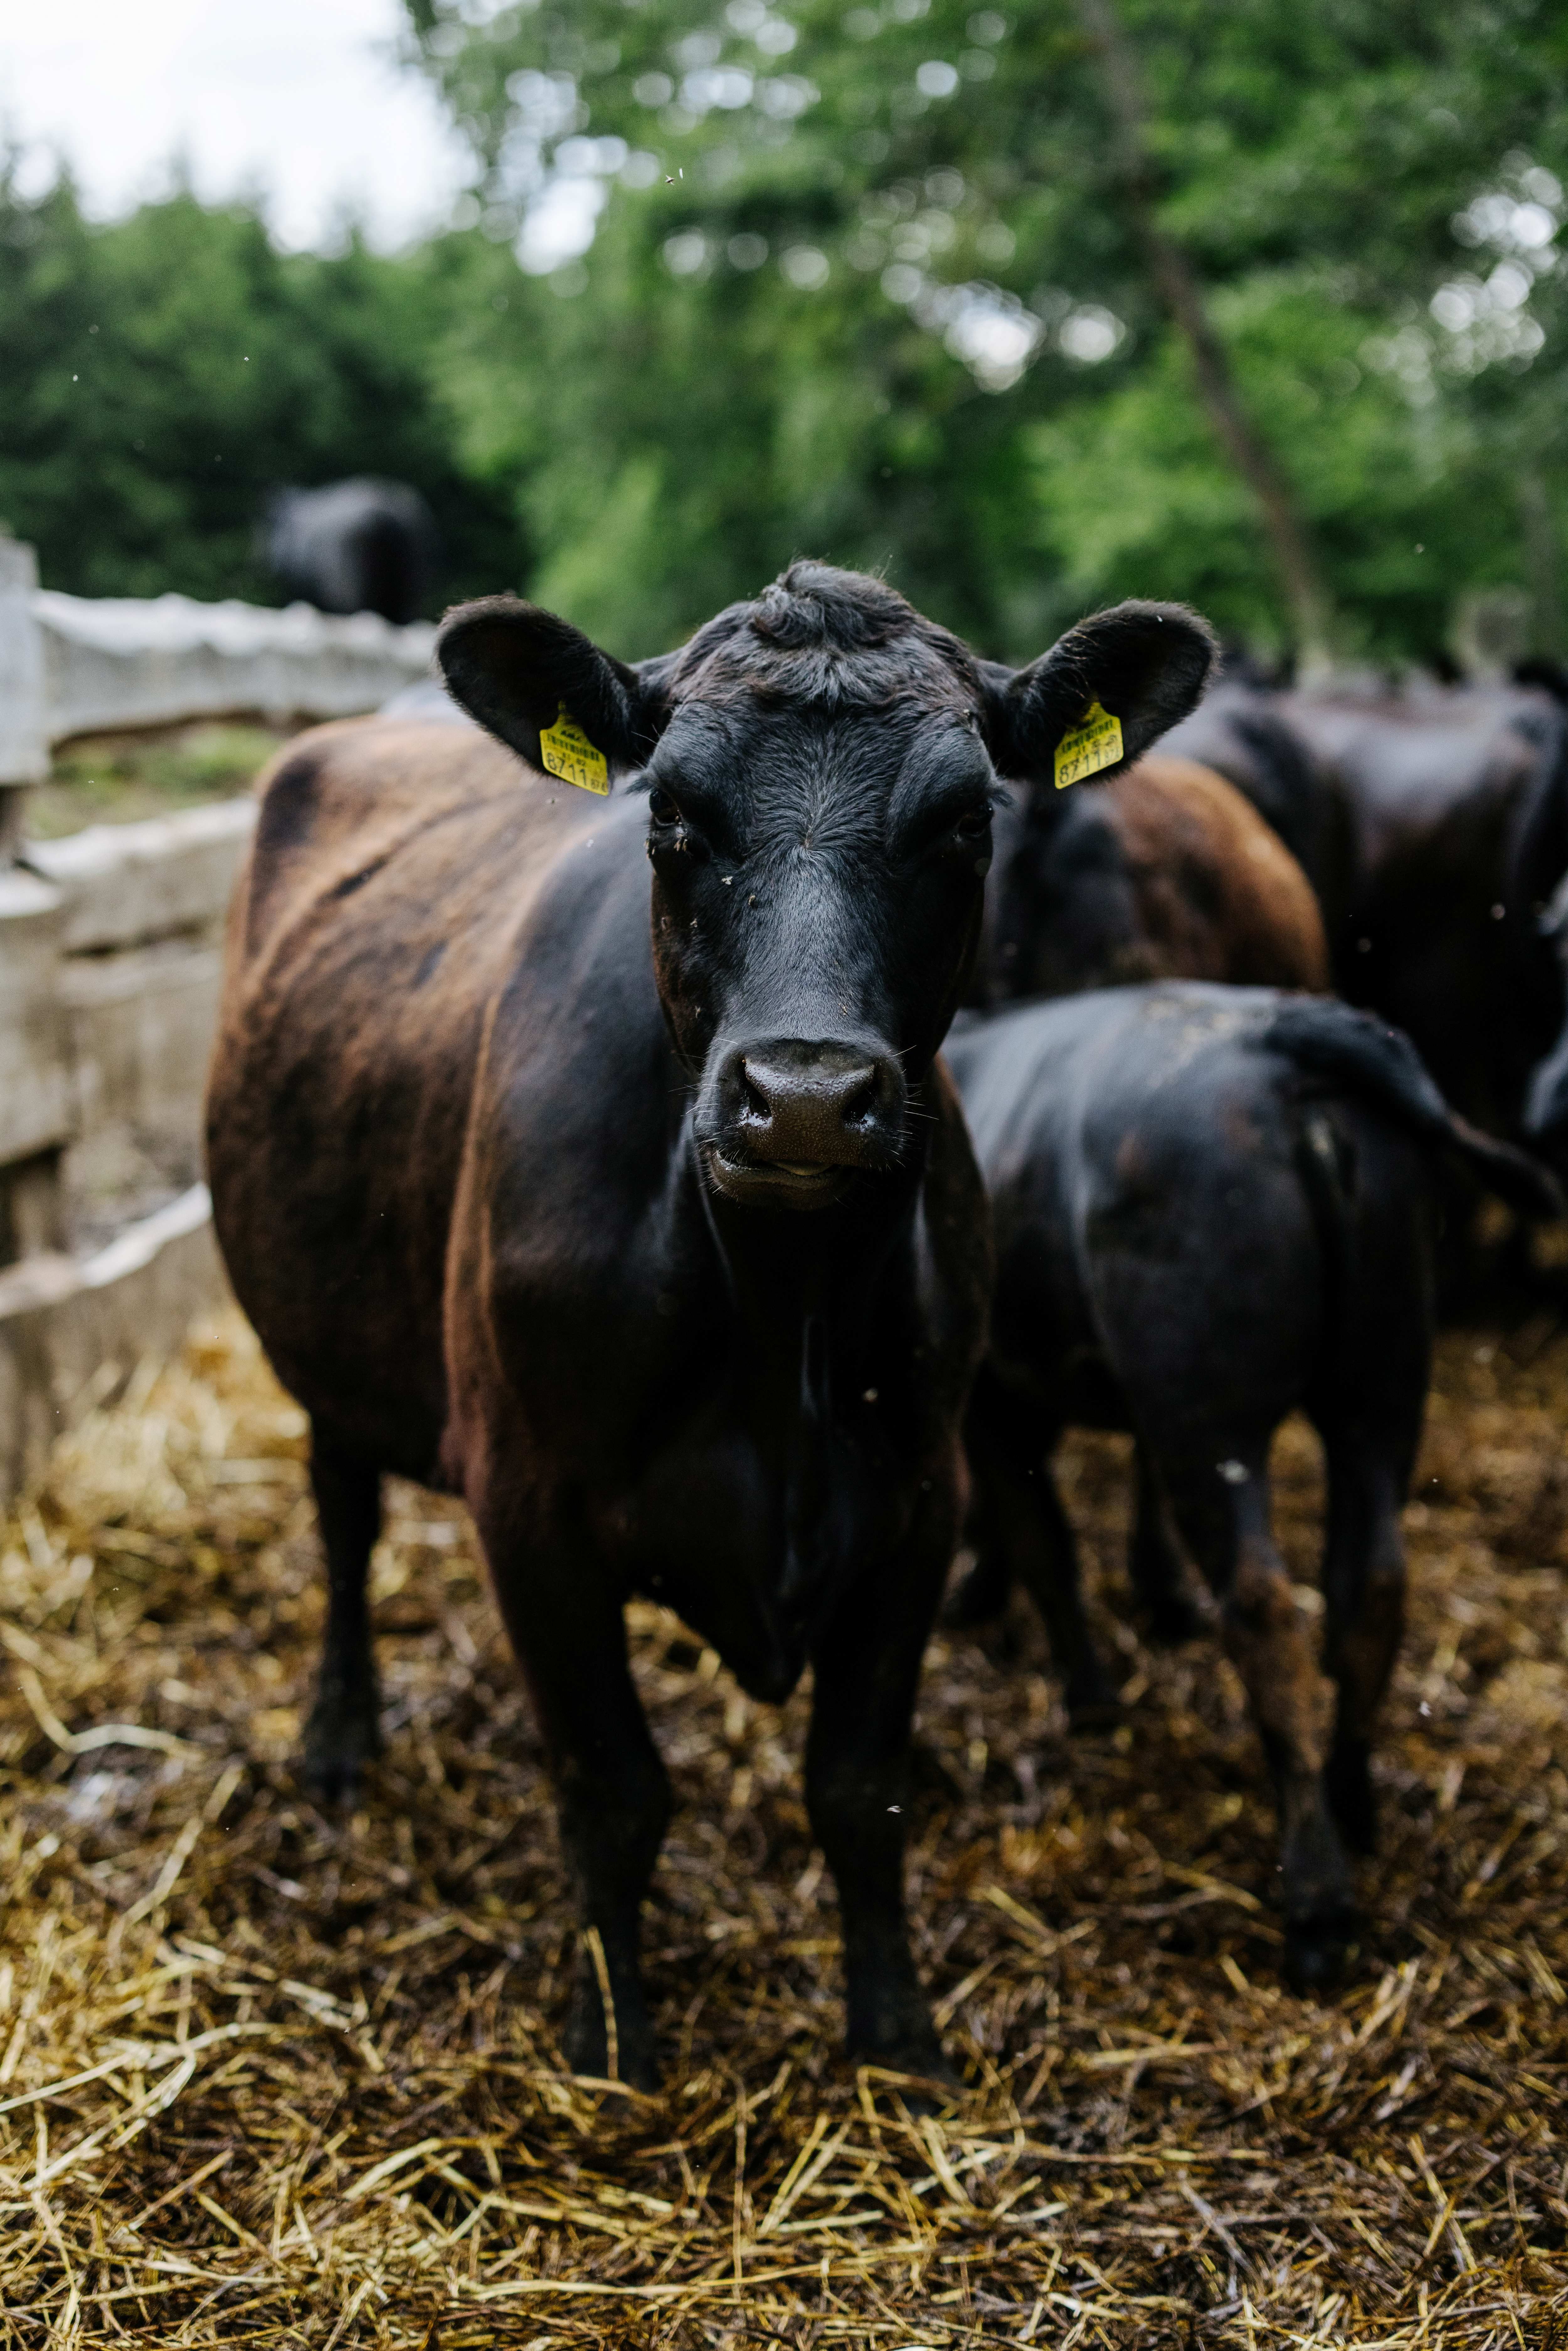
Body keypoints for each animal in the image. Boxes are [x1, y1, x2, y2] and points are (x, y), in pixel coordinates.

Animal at [205, 563, 1215, 2087]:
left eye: (965, 819)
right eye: (672, 817)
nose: (801, 1095)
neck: (775, 1311)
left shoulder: (914, 1498)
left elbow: (858, 1792)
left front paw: (894, 2035)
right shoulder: (529, 1507)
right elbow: (613, 1792)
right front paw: (611, 2036)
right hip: (322, 1342)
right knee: (341, 1514)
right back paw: (337, 1733)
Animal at [944, 983, 1558, 1986]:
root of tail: (1286, 1036)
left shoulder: (997, 1397)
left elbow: (1043, 1542)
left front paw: (1089, 1693)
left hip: (1208, 1411)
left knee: (1265, 1608)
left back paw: (1315, 1896)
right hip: (1381, 1381)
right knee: (1369, 1584)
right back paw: (1350, 1799)